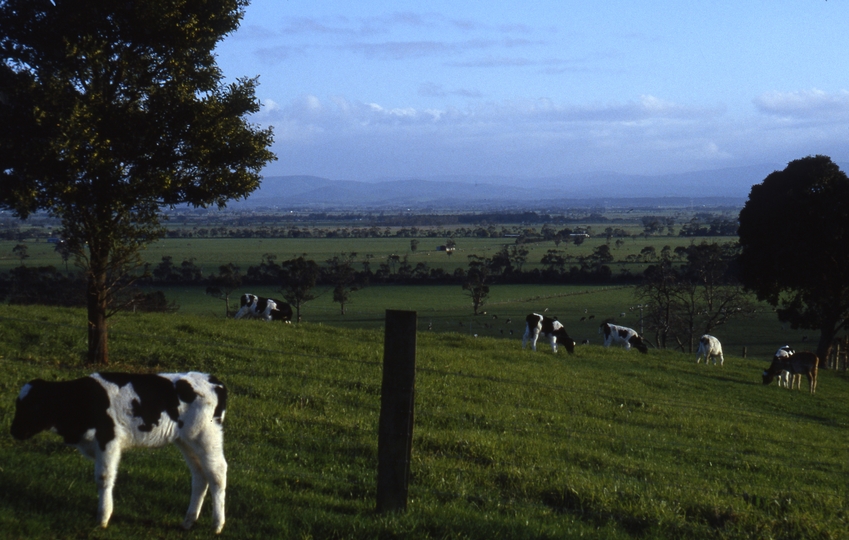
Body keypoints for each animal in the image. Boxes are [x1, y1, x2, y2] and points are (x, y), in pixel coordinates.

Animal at [10, 372, 229, 532]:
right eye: (18, 405)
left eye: (35, 406)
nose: (14, 431)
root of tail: (214, 380)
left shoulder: (108, 441)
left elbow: (104, 478)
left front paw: (103, 518)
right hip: (186, 441)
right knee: (200, 476)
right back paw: (188, 521)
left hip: (207, 436)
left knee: (217, 473)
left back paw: (217, 525)